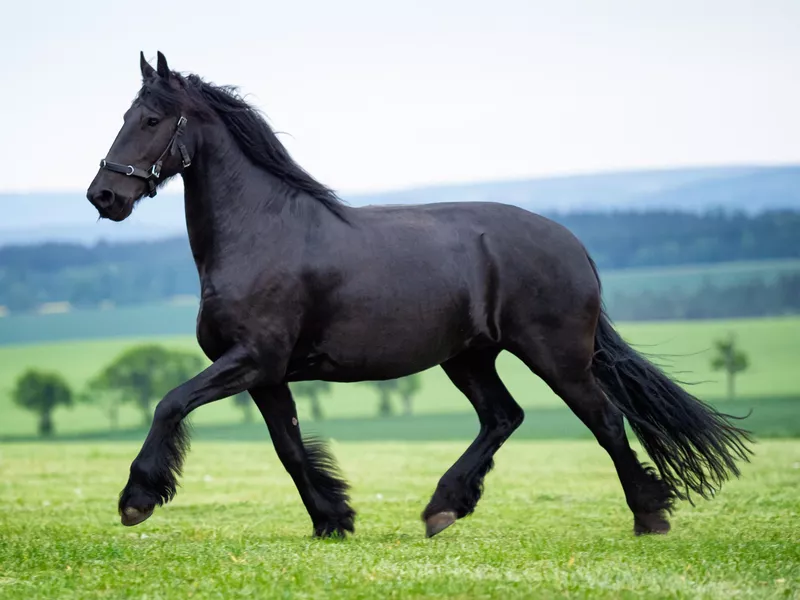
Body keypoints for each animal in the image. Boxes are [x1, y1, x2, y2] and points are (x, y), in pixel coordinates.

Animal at [84, 52, 752, 540]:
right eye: (124, 116)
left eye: (150, 120)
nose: (103, 197)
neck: (261, 232)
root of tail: (571, 245)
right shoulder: (268, 375)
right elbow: (290, 448)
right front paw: (334, 520)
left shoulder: (250, 360)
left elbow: (169, 403)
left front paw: (137, 498)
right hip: (469, 357)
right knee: (503, 417)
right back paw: (444, 507)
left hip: (556, 356)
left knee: (605, 420)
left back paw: (649, 516)